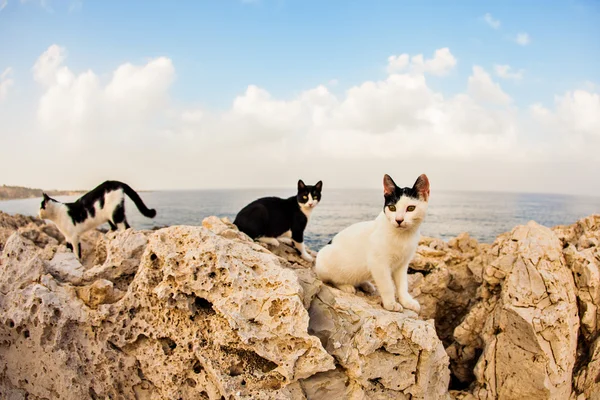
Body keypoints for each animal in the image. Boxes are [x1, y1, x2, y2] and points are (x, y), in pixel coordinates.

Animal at [316, 173, 428, 314]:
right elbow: (387, 285)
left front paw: (407, 301)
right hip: (325, 260)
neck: (402, 237)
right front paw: (391, 304)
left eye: (411, 208)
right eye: (392, 208)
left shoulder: (402, 265)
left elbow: (403, 285)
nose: (399, 220)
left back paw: (366, 284)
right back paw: (346, 286)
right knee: (331, 279)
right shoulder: (378, 263)